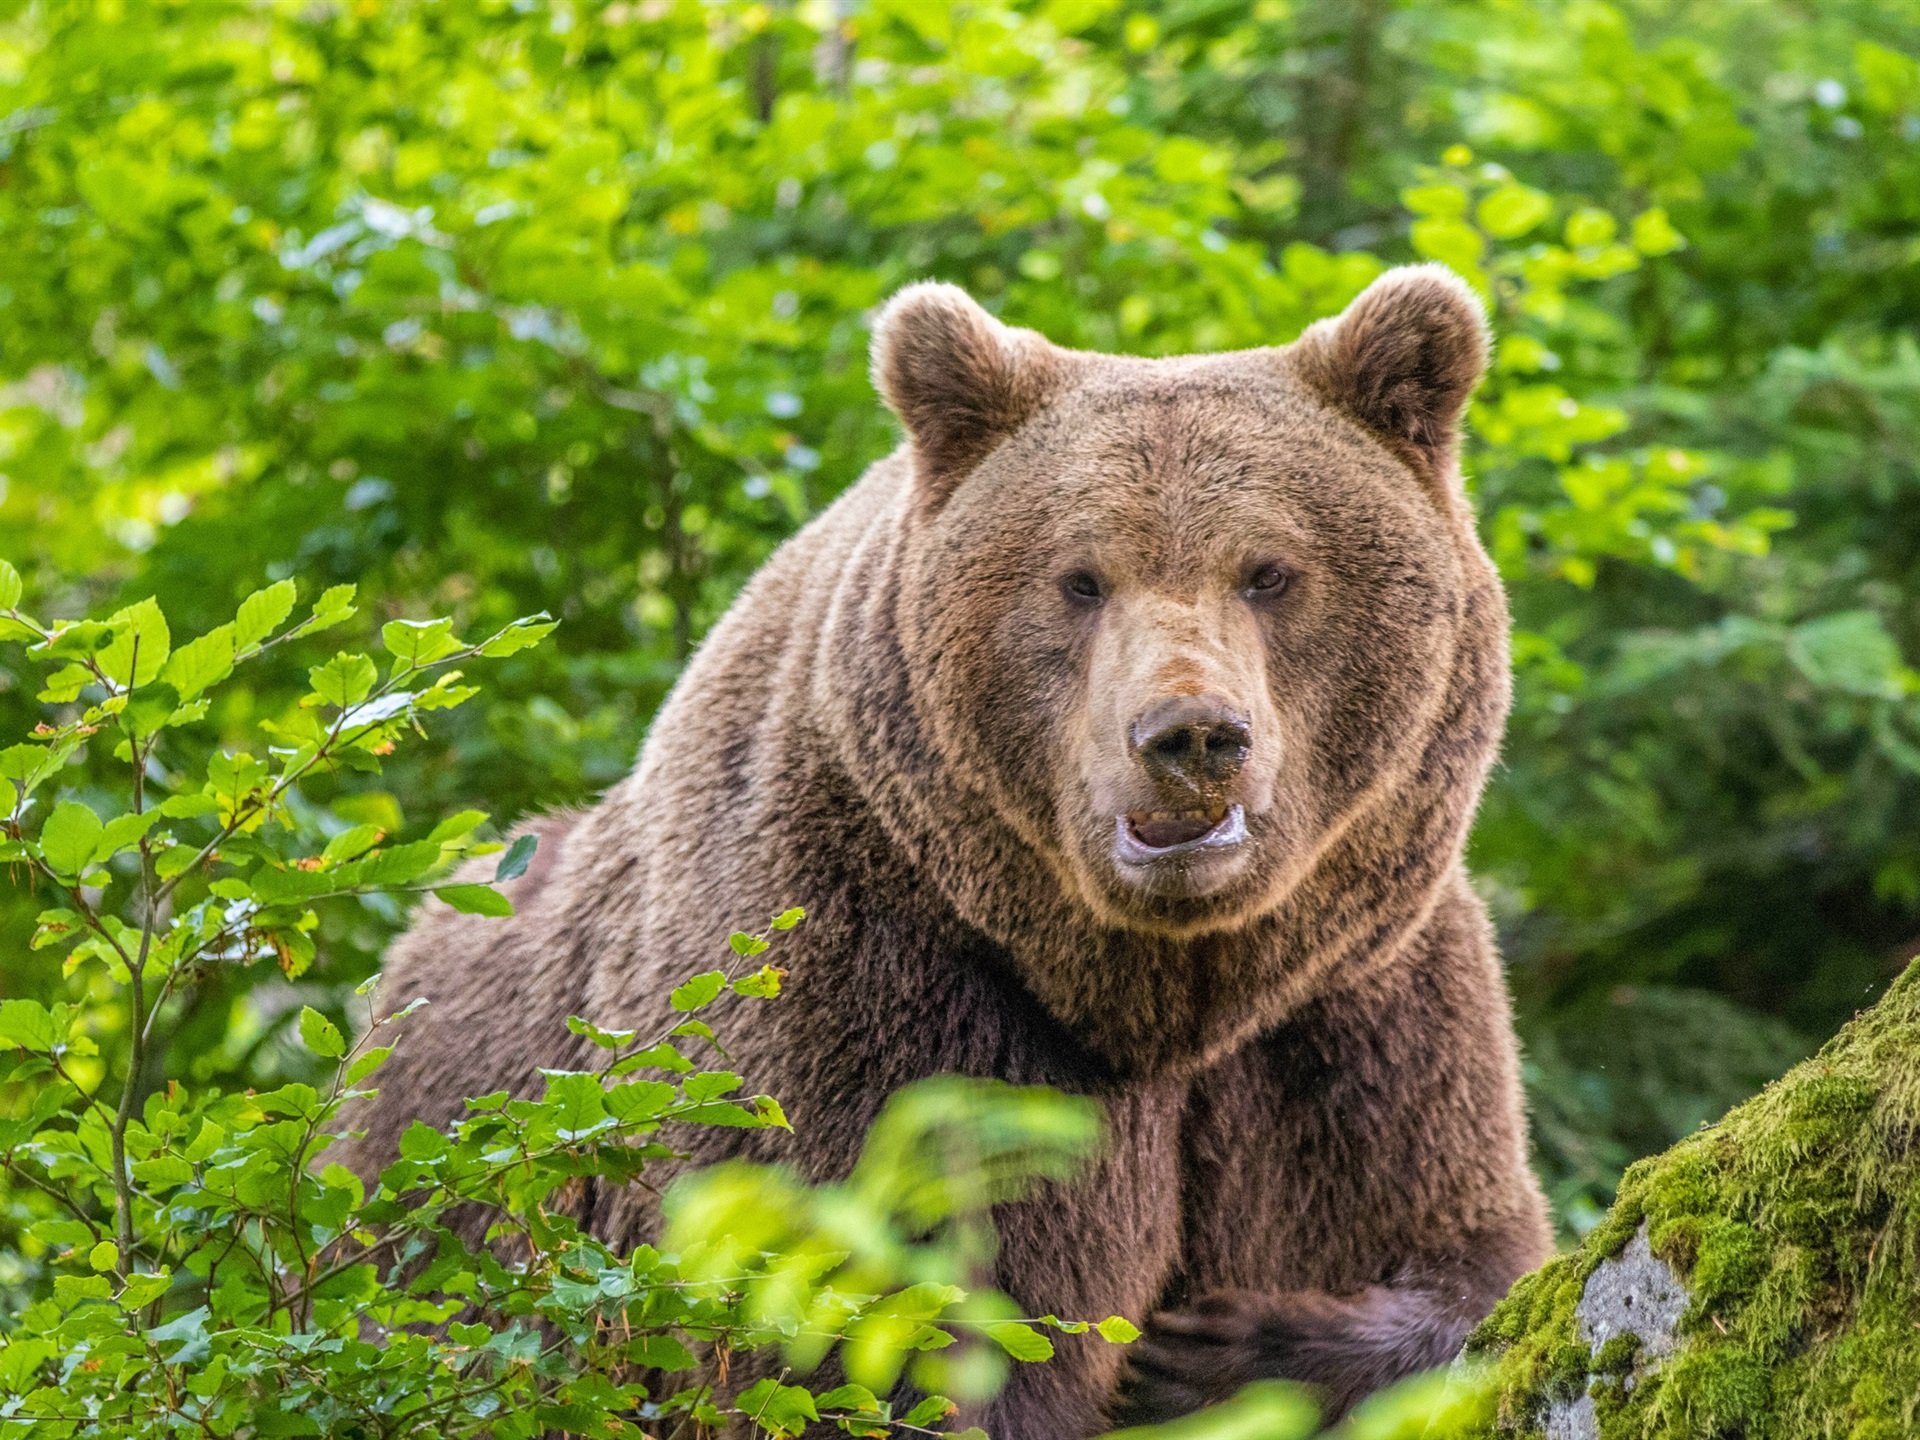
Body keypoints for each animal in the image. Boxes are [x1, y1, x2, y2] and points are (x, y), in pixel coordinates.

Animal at [360, 268, 1551, 1436]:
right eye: (1080, 578)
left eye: (1269, 570)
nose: (1191, 737)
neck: (1158, 992)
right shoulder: (873, 984)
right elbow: (883, 1336)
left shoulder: (1354, 1011)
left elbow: (1467, 1255)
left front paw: (1220, 1352)